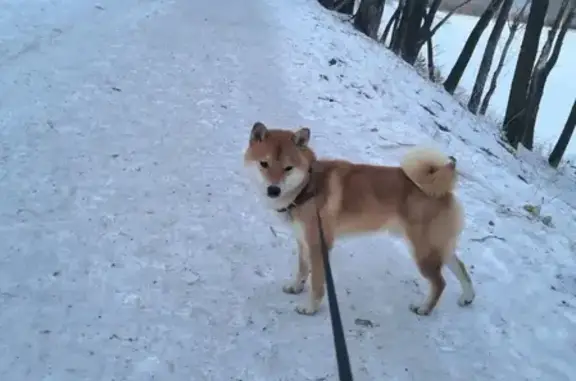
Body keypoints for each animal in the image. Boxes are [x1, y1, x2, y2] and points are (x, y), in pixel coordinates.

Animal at [241, 121, 474, 314]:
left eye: (288, 168)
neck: (308, 187)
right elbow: (302, 269)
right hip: (437, 248)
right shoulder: (303, 241)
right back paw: (467, 297)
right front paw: (296, 286)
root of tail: (444, 191)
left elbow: (316, 282)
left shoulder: (319, 245)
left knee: (440, 283)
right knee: (461, 268)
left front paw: (310, 308)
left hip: (423, 252)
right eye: (263, 164)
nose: (273, 190)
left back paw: (424, 308)